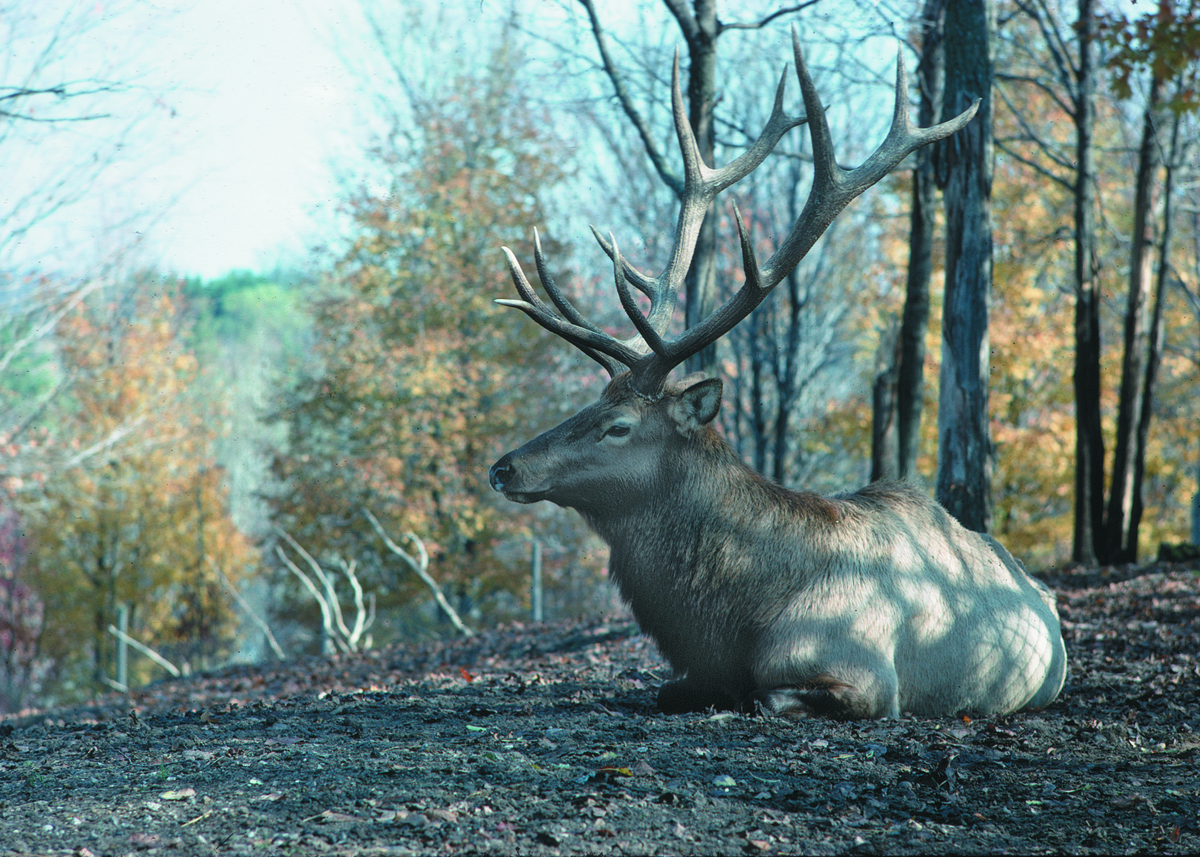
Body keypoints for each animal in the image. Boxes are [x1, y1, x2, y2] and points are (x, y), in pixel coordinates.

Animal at [487, 31, 1070, 715]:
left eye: (619, 426)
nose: (504, 467)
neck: (730, 623)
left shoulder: (868, 678)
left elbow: (770, 695)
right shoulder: (695, 673)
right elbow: (666, 691)